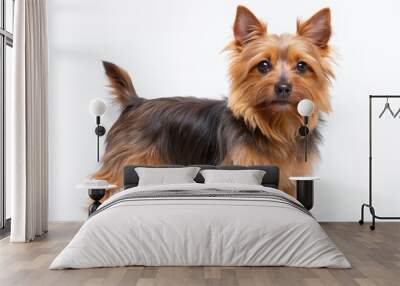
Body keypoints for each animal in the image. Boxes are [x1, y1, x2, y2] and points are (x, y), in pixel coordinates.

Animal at [92, 4, 332, 198]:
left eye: (302, 66)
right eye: (263, 65)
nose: (283, 87)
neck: (275, 126)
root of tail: (137, 102)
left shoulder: (289, 180)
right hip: (125, 162)